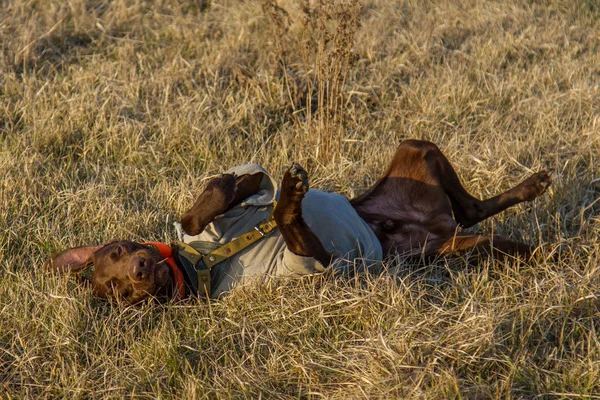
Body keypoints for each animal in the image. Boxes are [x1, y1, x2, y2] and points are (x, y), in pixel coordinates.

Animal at [45, 139, 552, 302]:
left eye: (117, 252)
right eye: (118, 293)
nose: (138, 272)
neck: (202, 263)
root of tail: (434, 228)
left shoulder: (233, 204)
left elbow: (203, 208)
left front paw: (231, 190)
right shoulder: (313, 260)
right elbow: (285, 220)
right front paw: (288, 197)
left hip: (416, 149)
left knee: (470, 207)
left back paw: (534, 188)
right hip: (456, 249)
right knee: (477, 224)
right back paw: (551, 252)